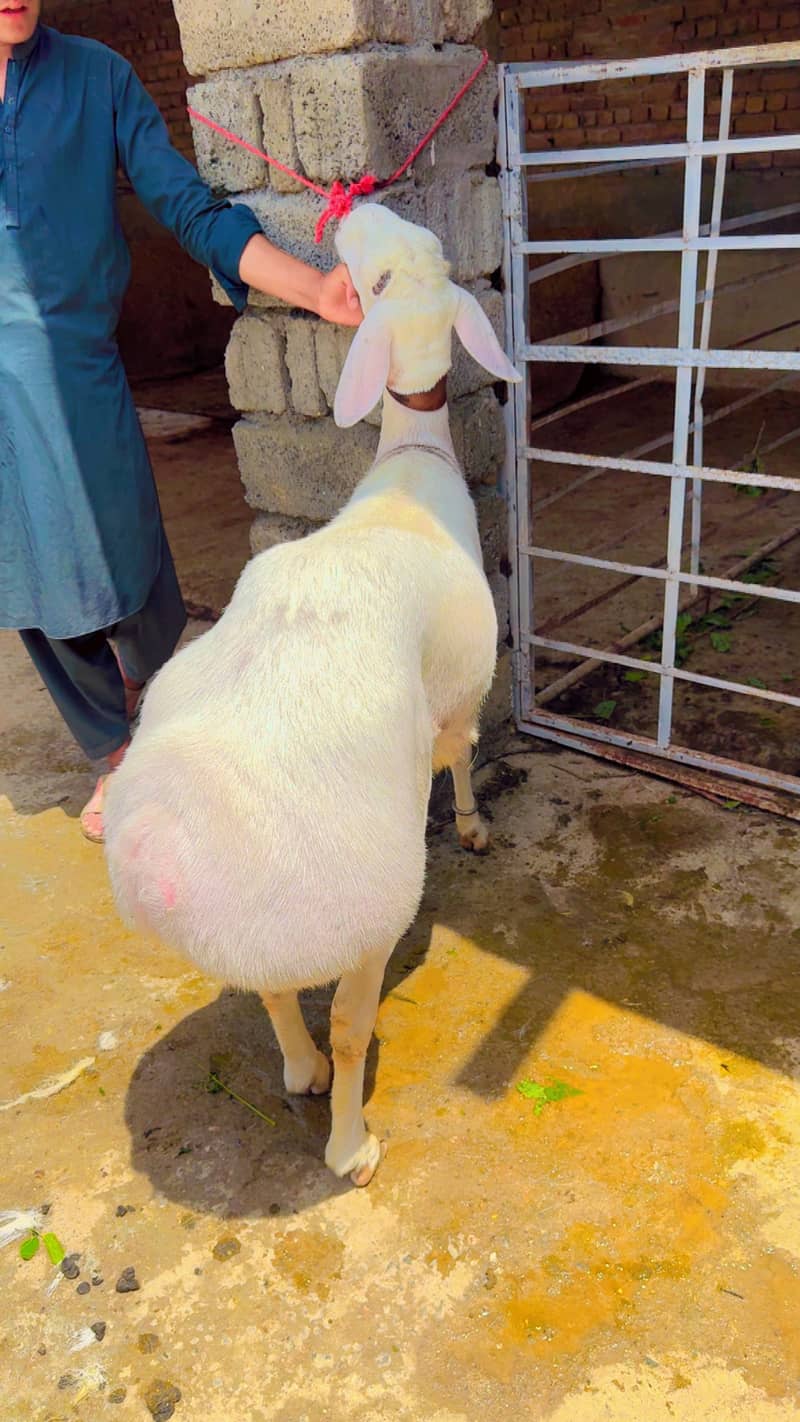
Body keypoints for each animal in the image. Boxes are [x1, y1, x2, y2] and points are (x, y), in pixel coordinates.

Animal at [104, 201, 520, 1188]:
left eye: (411, 260)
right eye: (384, 276)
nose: (355, 208)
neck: (411, 462)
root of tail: (161, 853)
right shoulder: (464, 688)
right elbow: (462, 753)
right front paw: (474, 824)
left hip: (267, 935)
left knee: (273, 997)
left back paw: (299, 1071)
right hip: (365, 909)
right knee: (350, 1022)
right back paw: (349, 1144)